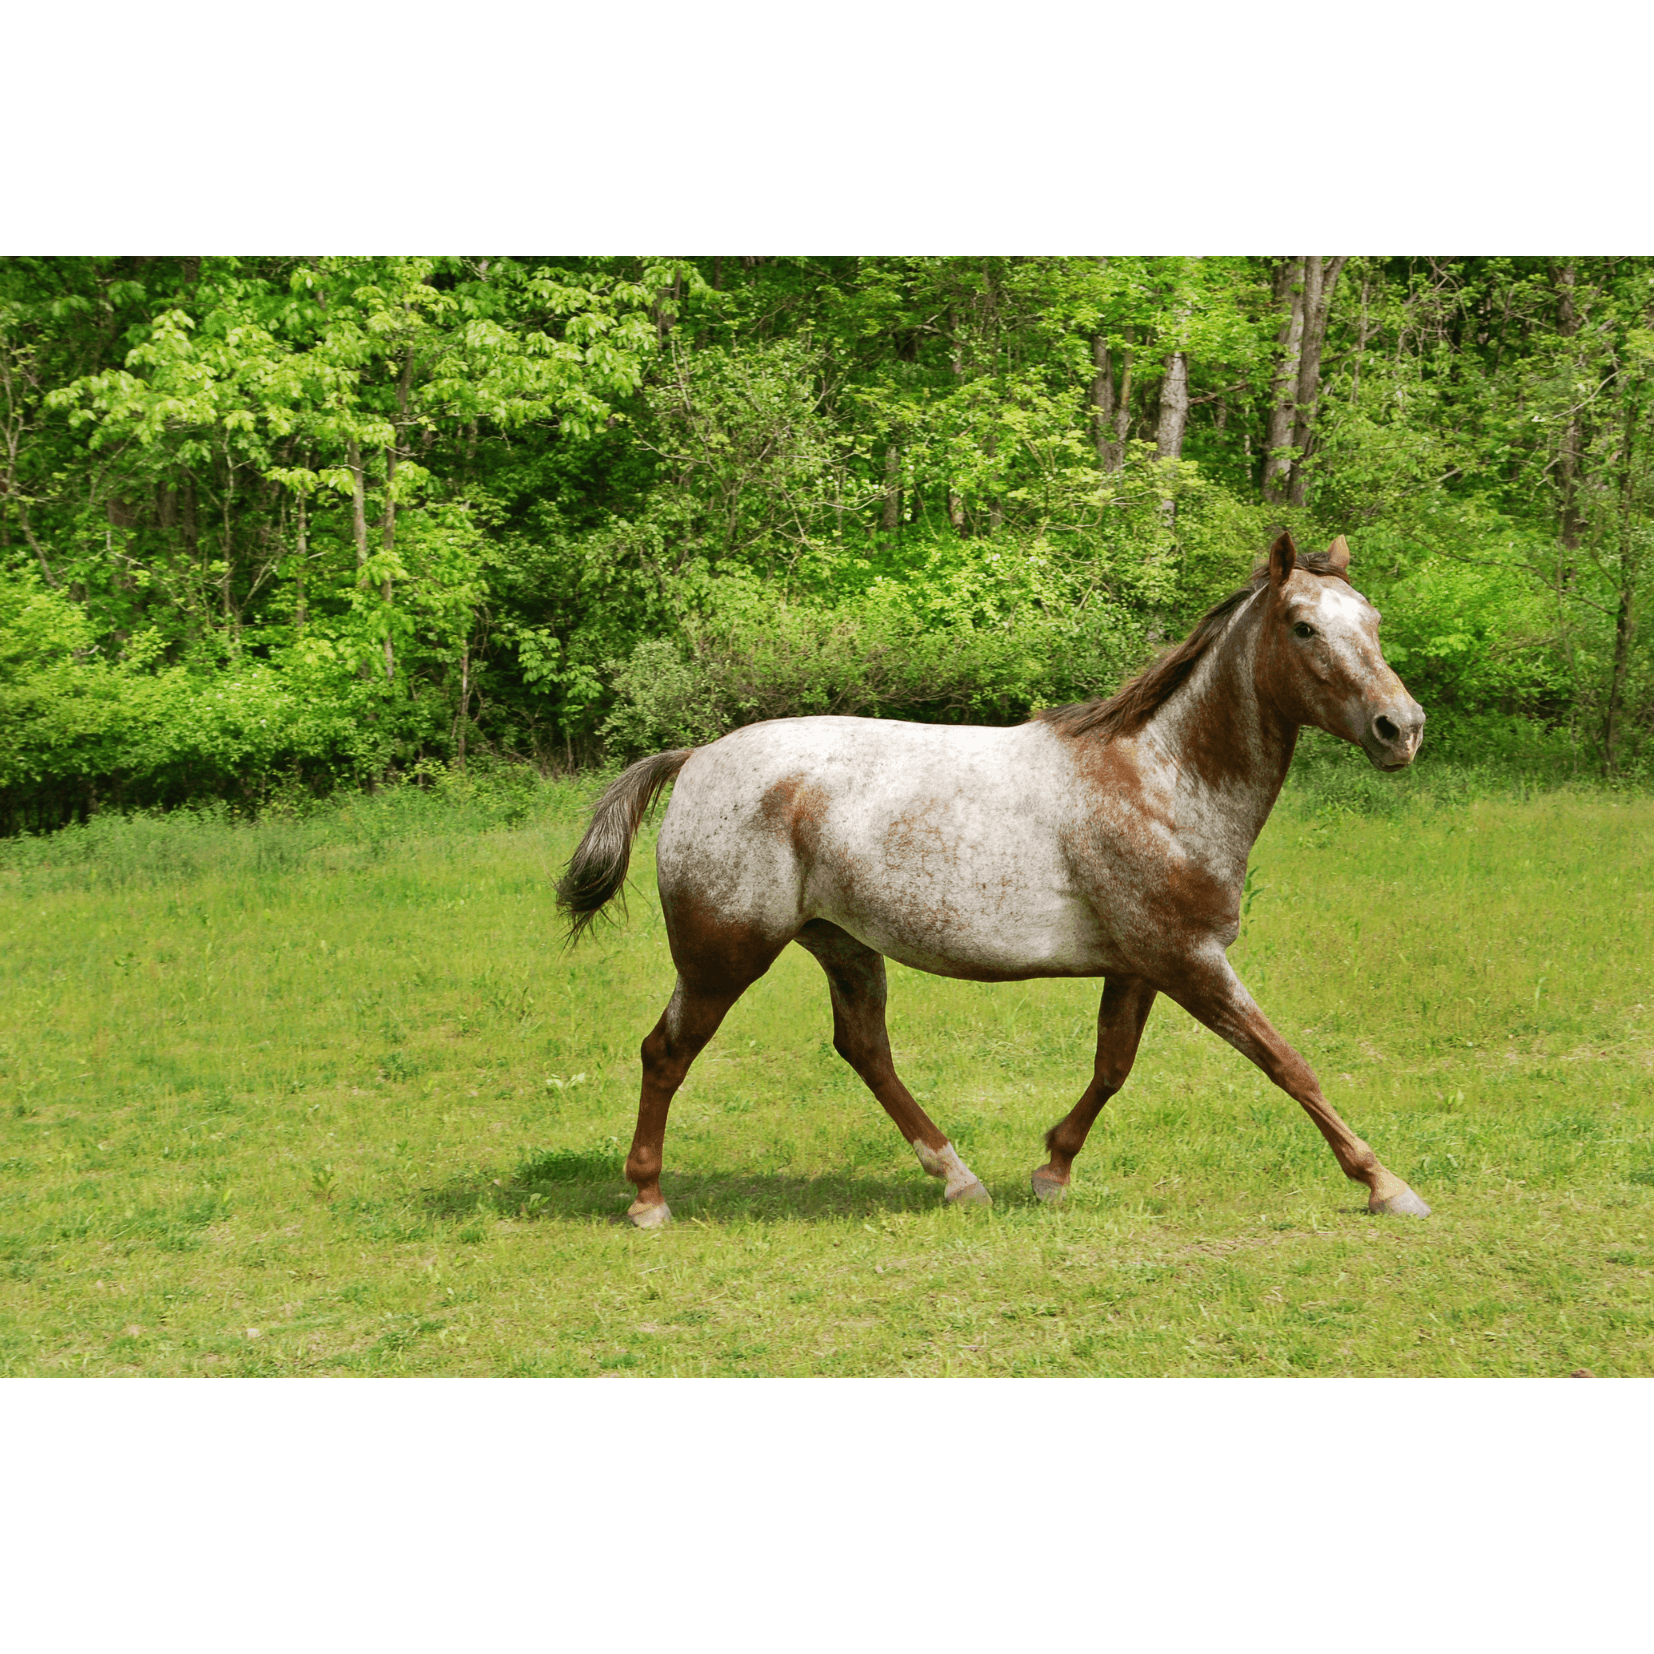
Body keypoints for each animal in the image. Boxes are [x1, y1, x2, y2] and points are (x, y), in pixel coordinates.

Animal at [557, 531, 1431, 1227]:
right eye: (1304, 626)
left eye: (1374, 621)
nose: (1403, 728)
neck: (1161, 779)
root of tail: (696, 758)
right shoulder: (1189, 960)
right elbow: (1287, 1062)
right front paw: (1385, 1184)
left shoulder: (1141, 965)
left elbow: (1112, 1067)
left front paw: (1051, 1170)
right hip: (723, 957)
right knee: (666, 1053)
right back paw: (648, 1200)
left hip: (842, 946)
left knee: (864, 1050)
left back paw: (958, 1179)